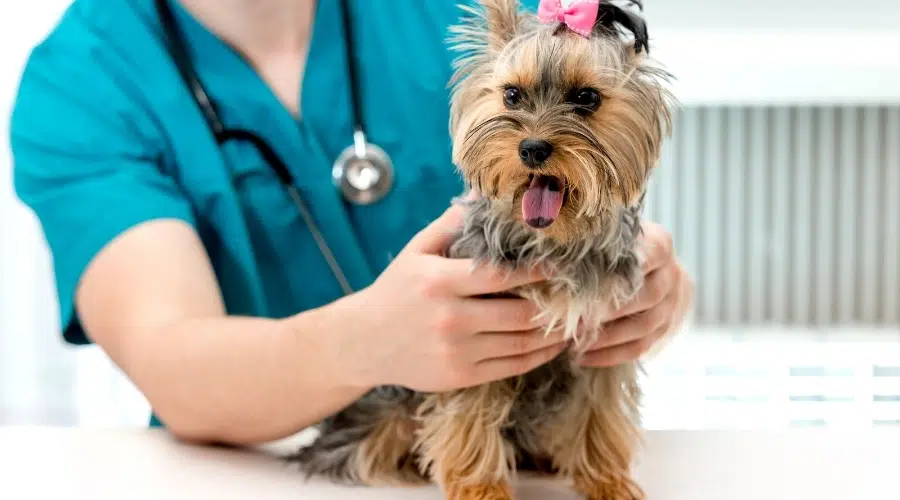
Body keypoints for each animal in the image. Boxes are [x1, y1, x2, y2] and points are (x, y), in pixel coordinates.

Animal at [292, 0, 680, 500]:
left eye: (587, 98)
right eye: (512, 95)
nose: (532, 147)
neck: (552, 242)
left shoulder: (602, 334)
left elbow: (599, 411)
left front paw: (608, 481)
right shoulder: (471, 345)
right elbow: (470, 411)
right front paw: (482, 488)